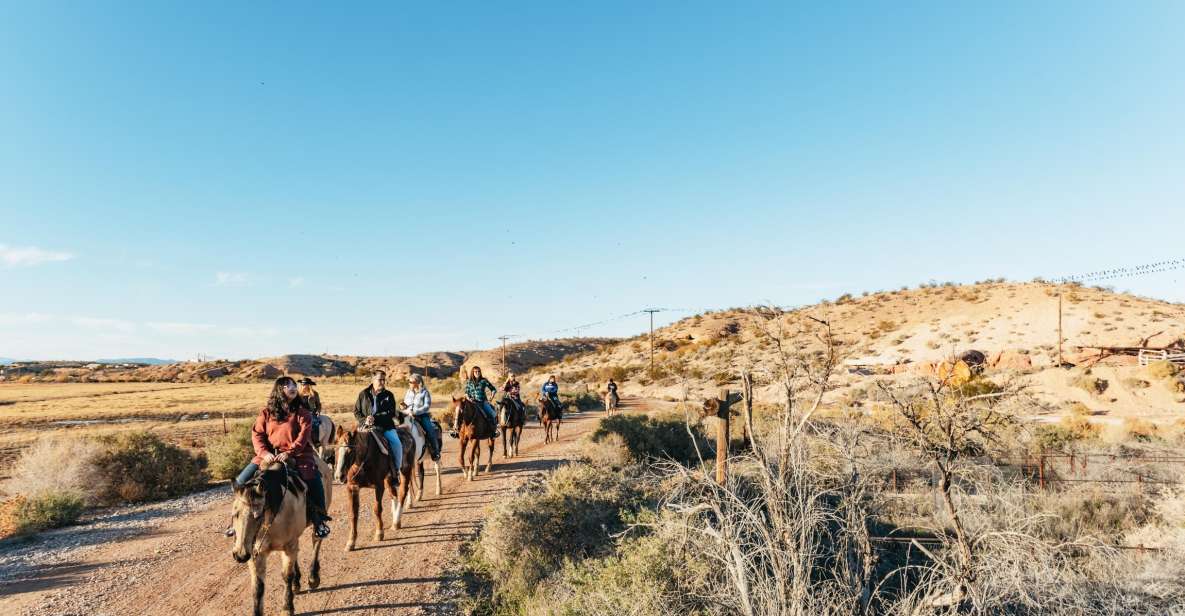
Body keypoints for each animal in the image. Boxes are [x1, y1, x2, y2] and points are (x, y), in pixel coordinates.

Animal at [228, 459, 331, 616]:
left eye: (258, 516)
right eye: (235, 514)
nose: (240, 555)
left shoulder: (288, 545)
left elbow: (286, 576)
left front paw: (287, 608)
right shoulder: (256, 552)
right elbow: (258, 587)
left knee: (316, 541)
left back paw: (313, 577)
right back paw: (297, 583)